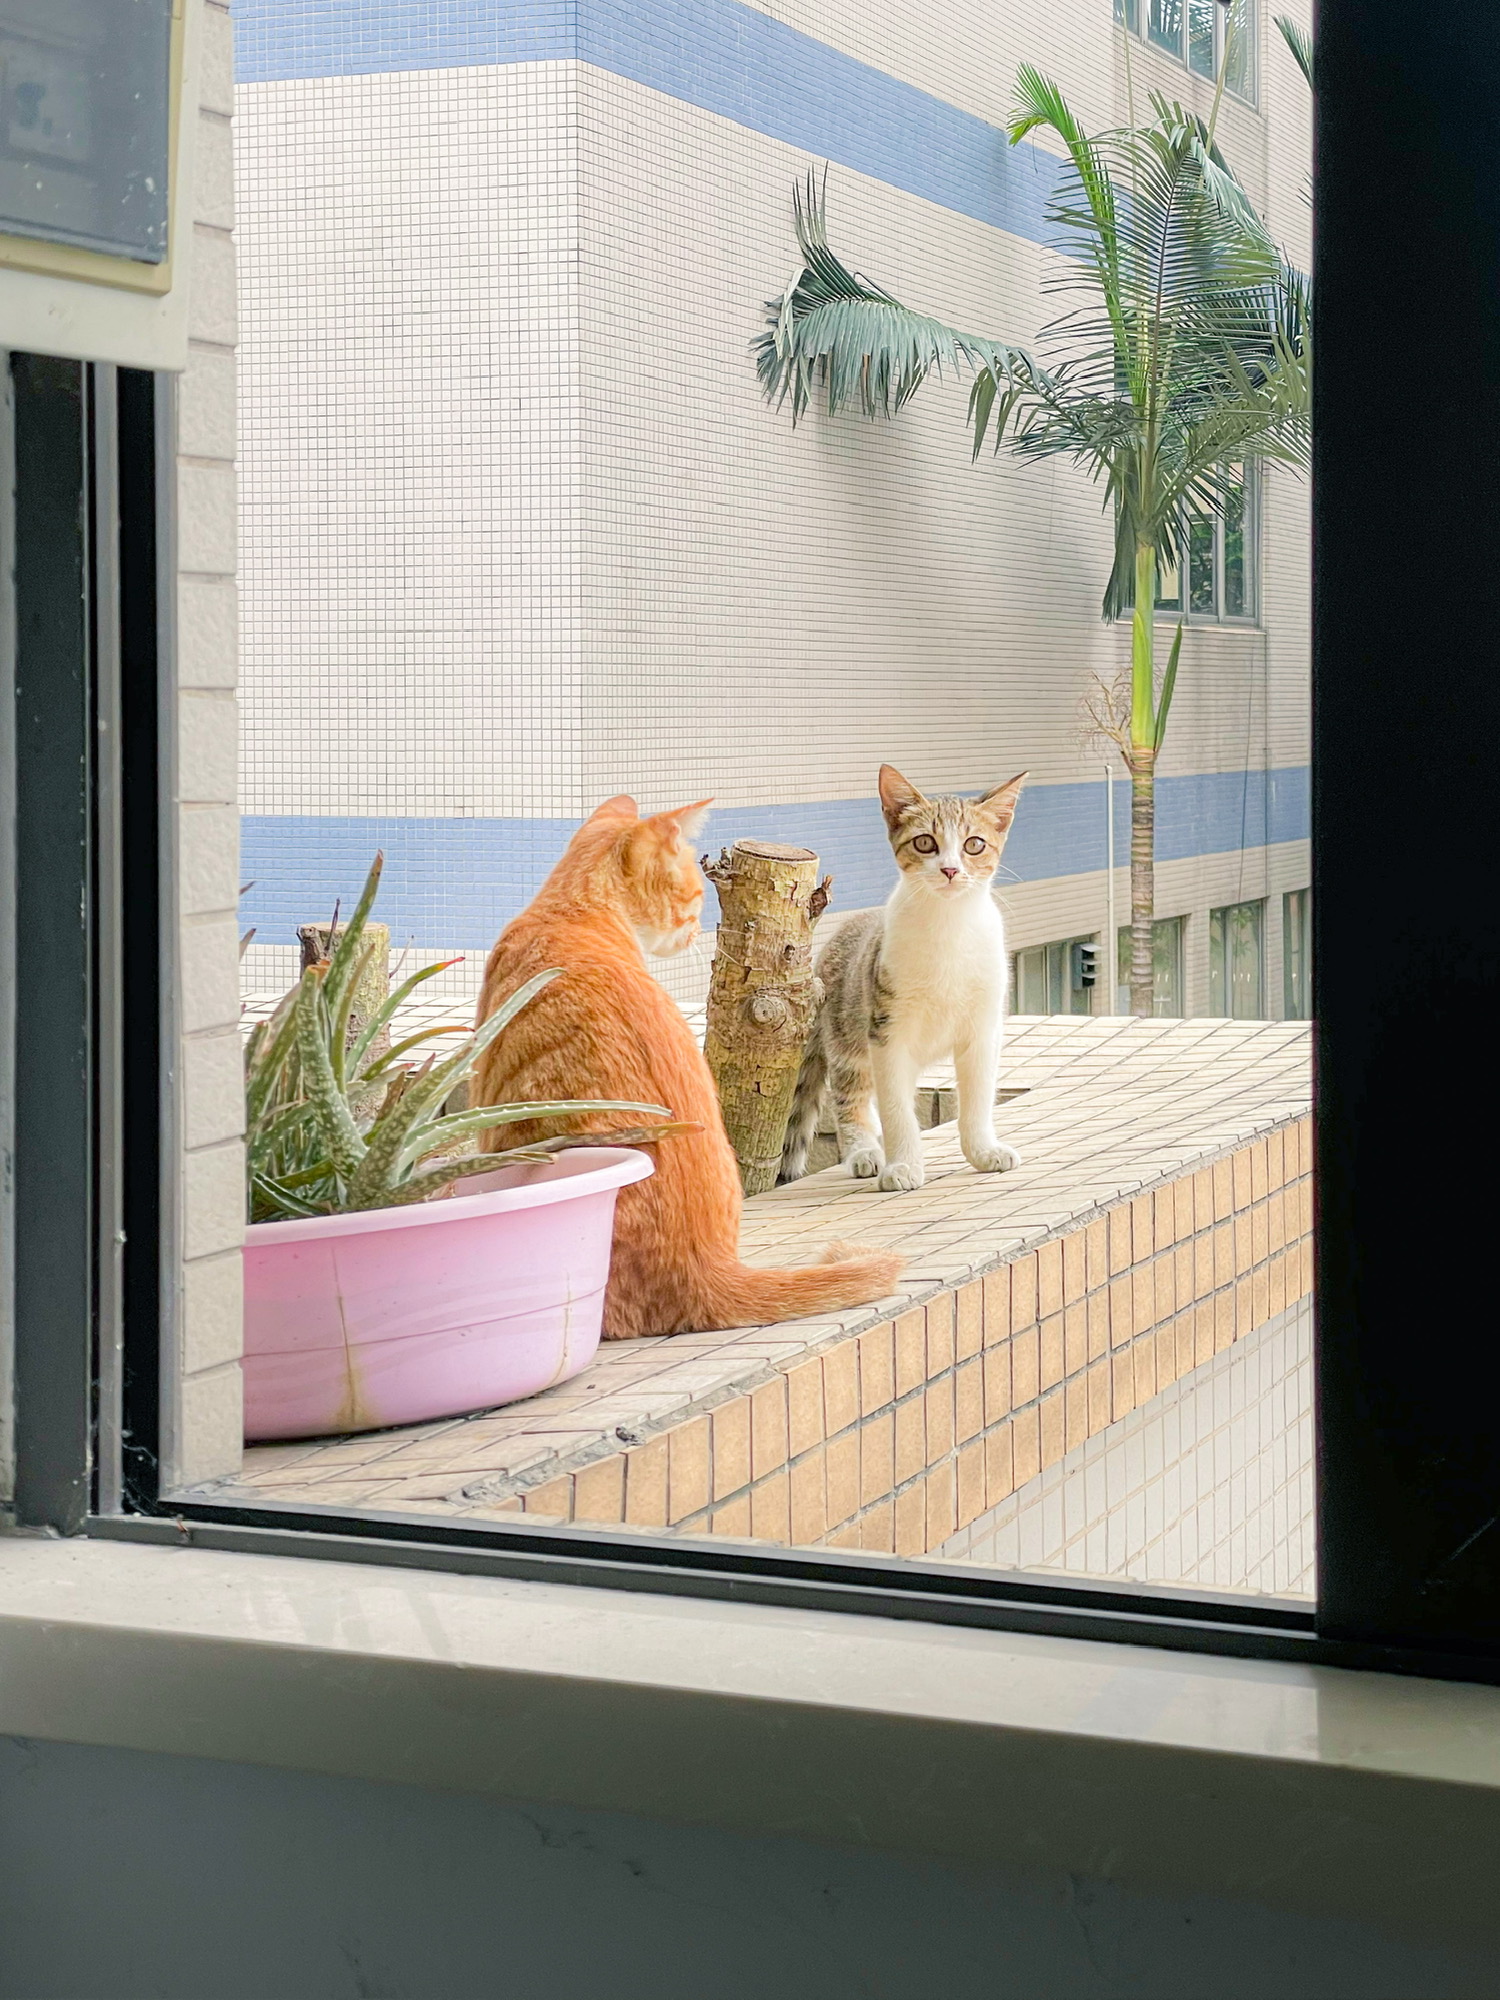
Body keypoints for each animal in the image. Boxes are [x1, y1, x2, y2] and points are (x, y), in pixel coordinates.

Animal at [781, 764, 1027, 1194]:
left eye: (974, 844)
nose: (950, 869)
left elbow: (978, 1098)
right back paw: (864, 1153)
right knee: (851, 1098)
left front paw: (983, 1151)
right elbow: (896, 1108)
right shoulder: (887, 1032)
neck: (948, 927)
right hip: (846, 1036)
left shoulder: (983, 1028)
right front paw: (903, 1166)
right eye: (926, 842)